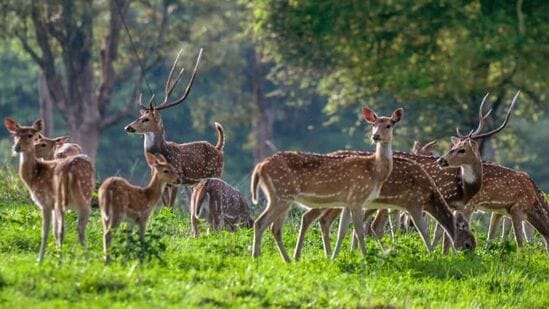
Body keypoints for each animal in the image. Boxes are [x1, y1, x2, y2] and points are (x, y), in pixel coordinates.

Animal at [4, 117, 94, 260]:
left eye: (43, 144)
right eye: (37, 141)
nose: (17, 147)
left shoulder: (47, 203)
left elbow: (49, 231)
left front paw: (43, 258)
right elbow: (55, 230)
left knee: (69, 227)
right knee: (80, 226)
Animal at [124, 49, 225, 208]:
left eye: (146, 119)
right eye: (139, 116)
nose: (128, 127)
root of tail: (218, 148)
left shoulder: (178, 179)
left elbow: (171, 207)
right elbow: (166, 206)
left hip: (215, 172)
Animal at [252, 107, 402, 262]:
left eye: (388, 125)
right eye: (373, 124)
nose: (375, 136)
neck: (375, 171)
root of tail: (260, 166)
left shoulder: (348, 202)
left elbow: (342, 230)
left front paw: (335, 257)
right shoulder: (357, 197)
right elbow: (359, 231)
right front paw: (365, 257)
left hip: (282, 197)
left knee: (274, 227)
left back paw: (286, 260)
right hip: (282, 195)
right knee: (260, 223)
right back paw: (257, 258)